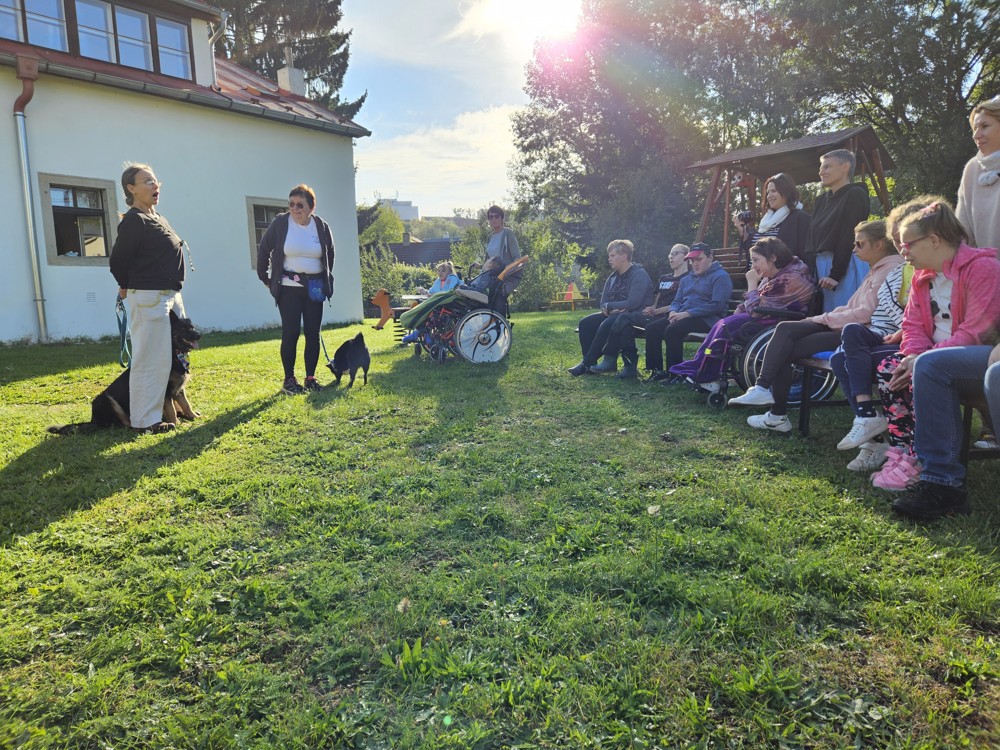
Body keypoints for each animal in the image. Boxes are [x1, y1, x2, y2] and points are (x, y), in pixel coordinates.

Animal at [49, 311, 201, 434]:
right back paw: (162, 425)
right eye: (183, 329)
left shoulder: (179, 390)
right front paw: (178, 423)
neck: (174, 353)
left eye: (192, 327)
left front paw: (193, 416)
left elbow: (186, 404)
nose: (199, 335)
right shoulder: (165, 392)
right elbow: (171, 410)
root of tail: (94, 420)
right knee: (131, 425)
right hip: (107, 400)